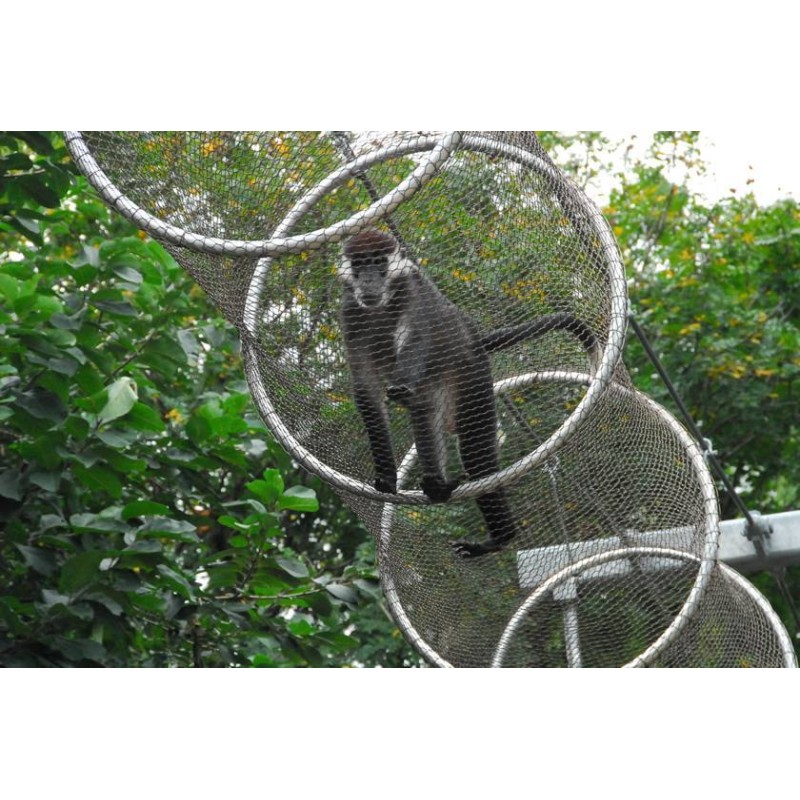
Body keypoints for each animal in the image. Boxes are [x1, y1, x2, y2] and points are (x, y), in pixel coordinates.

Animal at [338, 227, 599, 558]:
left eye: (379, 264)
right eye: (360, 266)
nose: (369, 280)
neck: (382, 304)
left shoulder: (415, 294)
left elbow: (416, 342)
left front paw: (400, 386)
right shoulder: (350, 312)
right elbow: (367, 391)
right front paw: (386, 476)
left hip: (472, 377)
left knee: (476, 456)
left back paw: (499, 535)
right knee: (425, 412)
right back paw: (438, 487)